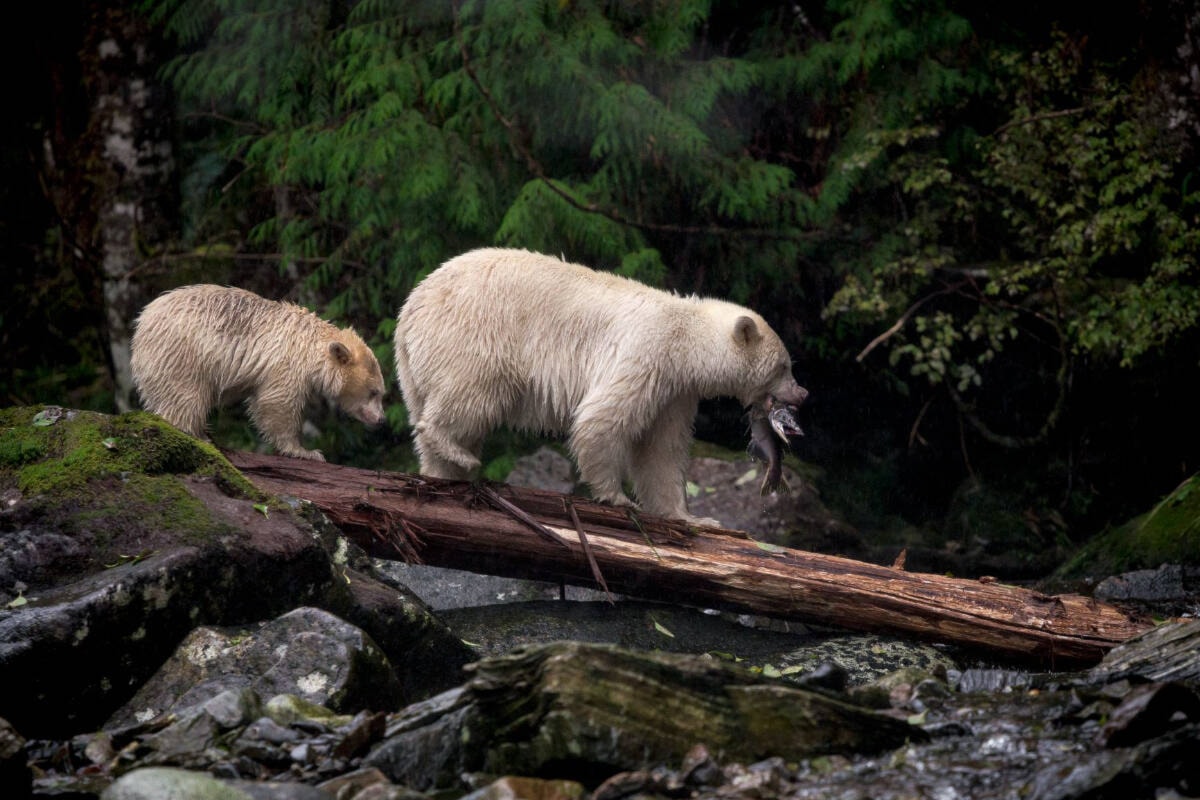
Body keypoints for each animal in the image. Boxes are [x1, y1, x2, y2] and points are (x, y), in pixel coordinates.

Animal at [131, 284, 386, 461]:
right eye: (374, 392)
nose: (382, 419)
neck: (310, 347)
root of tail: (141, 324)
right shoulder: (286, 364)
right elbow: (277, 403)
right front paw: (306, 451)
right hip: (182, 354)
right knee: (185, 395)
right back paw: (199, 436)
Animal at [393, 247, 808, 525]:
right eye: (784, 365)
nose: (803, 394)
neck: (686, 337)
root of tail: (410, 309)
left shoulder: (675, 391)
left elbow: (661, 451)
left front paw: (692, 518)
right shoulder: (647, 354)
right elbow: (602, 419)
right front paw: (618, 498)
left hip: (416, 368)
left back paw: (444, 473)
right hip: (474, 335)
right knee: (472, 396)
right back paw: (458, 453)